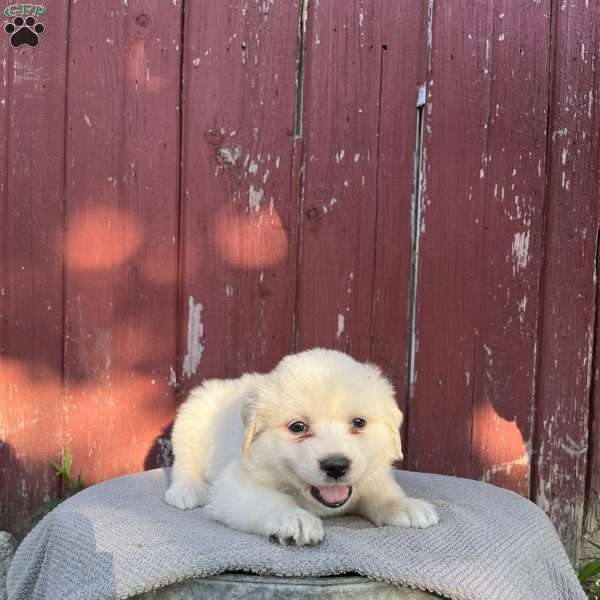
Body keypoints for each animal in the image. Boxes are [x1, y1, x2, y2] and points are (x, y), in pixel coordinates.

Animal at [166, 344, 438, 548]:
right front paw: (295, 518)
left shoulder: (372, 474)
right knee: (184, 463)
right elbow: (271, 500)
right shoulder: (234, 483)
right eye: (298, 427)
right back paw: (187, 490)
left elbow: (384, 492)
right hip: (193, 417)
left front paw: (405, 505)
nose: (336, 466)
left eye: (358, 423)